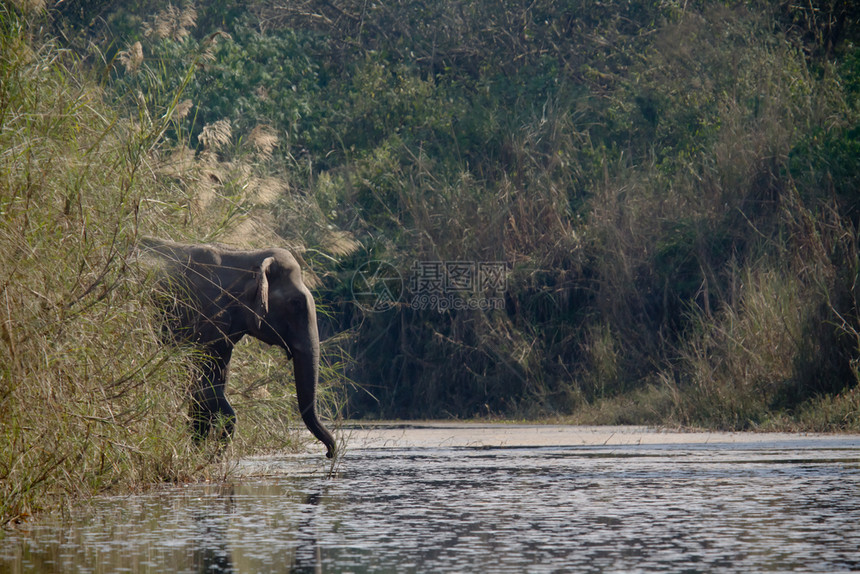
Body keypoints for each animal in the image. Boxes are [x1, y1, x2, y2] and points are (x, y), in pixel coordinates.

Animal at [141, 238, 336, 460]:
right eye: (296, 303)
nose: (329, 454)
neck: (246, 256)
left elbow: (213, 384)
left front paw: (198, 455)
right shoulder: (200, 315)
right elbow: (201, 383)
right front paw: (211, 456)